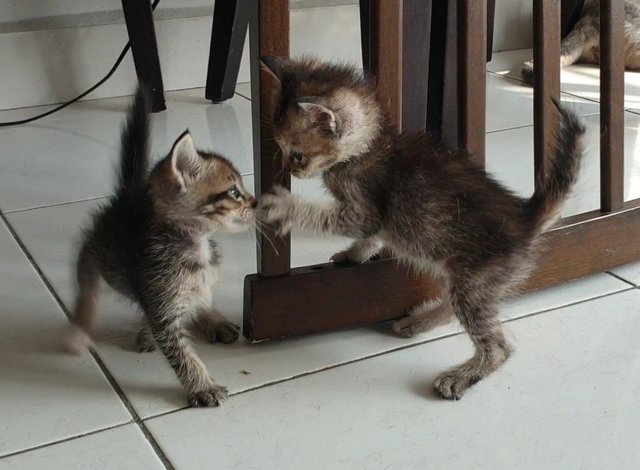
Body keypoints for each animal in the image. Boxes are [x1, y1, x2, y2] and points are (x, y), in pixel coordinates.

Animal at [66, 85, 254, 408]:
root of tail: (128, 194)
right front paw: (202, 387)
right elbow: (183, 355)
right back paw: (83, 323)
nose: (255, 203)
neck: (196, 247)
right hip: (98, 251)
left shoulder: (181, 292)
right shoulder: (162, 305)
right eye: (233, 192)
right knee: (86, 279)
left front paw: (208, 318)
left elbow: (200, 299)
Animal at [260, 56, 584, 400]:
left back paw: (459, 375)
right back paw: (418, 322)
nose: (289, 169)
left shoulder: (363, 209)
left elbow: (335, 219)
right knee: (453, 305)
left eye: (297, 155)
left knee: (497, 346)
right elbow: (372, 238)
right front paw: (353, 255)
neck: (369, 148)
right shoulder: (377, 220)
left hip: (476, 280)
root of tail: (526, 218)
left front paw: (284, 207)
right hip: (456, 271)